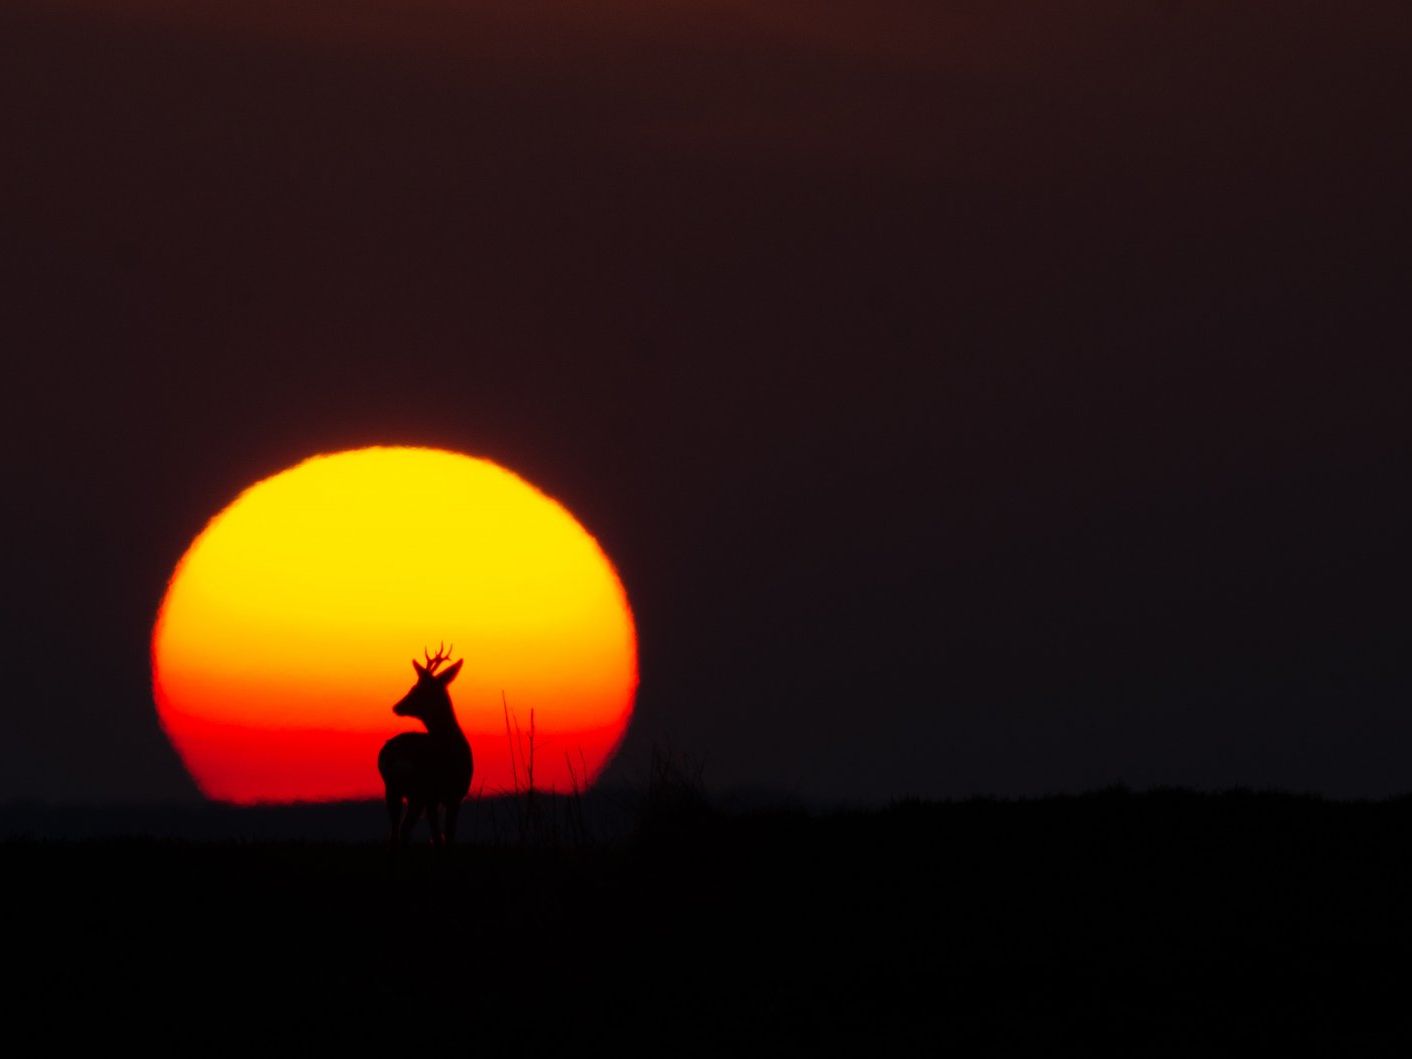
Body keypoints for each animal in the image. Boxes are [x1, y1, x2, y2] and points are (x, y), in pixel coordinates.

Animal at [375, 643, 474, 852]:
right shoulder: (450, 796)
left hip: (393, 789)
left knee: (396, 832)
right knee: (404, 829)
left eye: (416, 688)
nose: (396, 706)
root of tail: (395, 757)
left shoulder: (444, 798)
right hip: (419, 791)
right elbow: (446, 836)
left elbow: (440, 836)